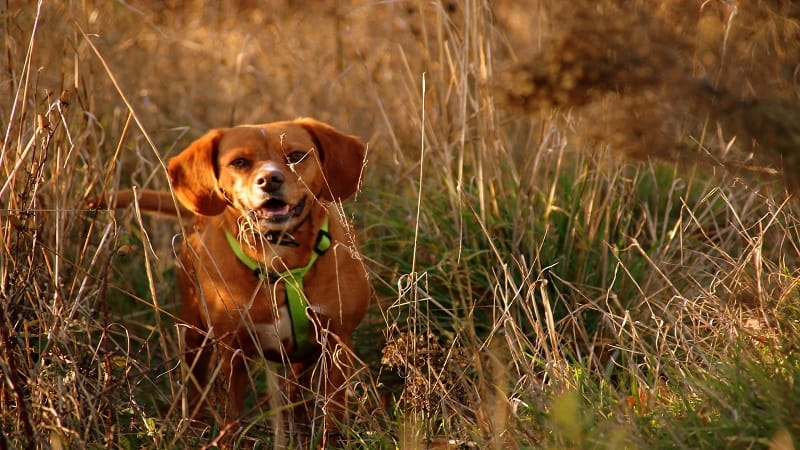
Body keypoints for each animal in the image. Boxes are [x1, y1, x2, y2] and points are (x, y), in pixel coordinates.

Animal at [96, 119, 368, 436]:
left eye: (296, 156)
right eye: (239, 162)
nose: (270, 180)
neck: (280, 262)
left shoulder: (336, 345)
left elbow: (333, 418)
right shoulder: (233, 354)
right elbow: (231, 420)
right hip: (194, 332)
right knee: (196, 382)